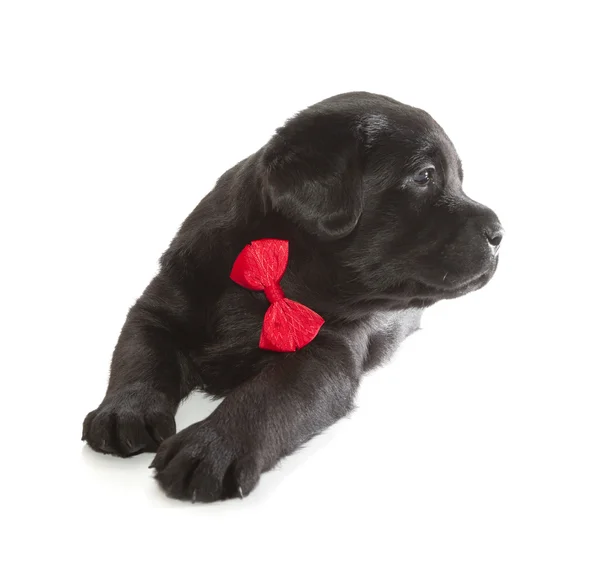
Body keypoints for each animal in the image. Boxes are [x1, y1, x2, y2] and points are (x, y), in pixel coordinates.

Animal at [79, 91, 502, 500]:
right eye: (425, 175)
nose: (500, 232)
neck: (272, 267)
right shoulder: (160, 304)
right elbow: (140, 357)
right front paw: (125, 412)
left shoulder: (324, 355)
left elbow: (264, 398)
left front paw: (211, 447)